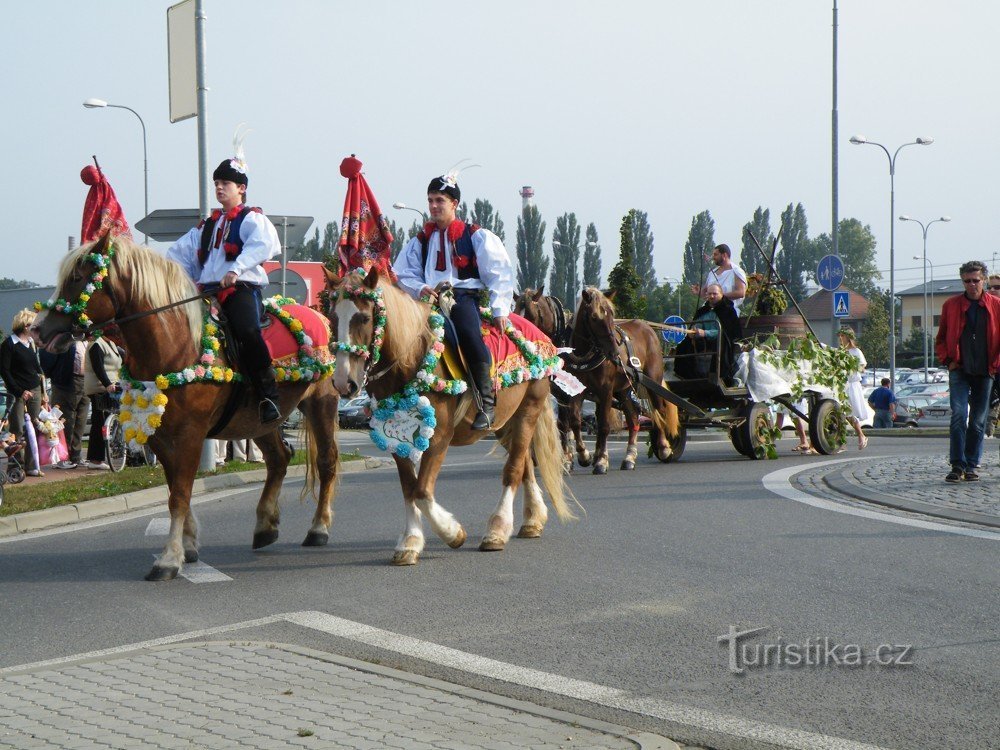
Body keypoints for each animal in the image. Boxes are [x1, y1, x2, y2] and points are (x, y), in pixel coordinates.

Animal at [29, 235, 342, 580]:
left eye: (77, 278)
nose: (38, 330)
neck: (175, 345)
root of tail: (319, 318)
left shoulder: (190, 434)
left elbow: (180, 494)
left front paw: (169, 558)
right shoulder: (160, 435)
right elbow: (175, 491)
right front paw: (188, 545)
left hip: (320, 404)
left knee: (326, 462)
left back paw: (318, 529)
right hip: (258, 421)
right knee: (279, 459)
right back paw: (264, 526)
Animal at [326, 268, 580, 568]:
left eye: (364, 318)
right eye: (332, 317)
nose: (344, 383)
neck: (412, 359)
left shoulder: (438, 439)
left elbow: (422, 492)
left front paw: (452, 533)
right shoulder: (396, 440)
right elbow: (409, 489)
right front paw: (410, 542)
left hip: (529, 410)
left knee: (514, 468)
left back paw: (497, 529)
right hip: (506, 422)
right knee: (525, 463)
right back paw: (532, 520)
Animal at [568, 288, 684, 476]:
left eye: (612, 314)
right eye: (594, 317)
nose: (614, 351)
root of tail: (648, 327)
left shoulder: (605, 390)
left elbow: (604, 425)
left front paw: (601, 461)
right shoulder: (576, 390)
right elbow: (575, 421)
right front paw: (584, 455)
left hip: (653, 381)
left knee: (659, 412)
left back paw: (665, 447)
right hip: (623, 391)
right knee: (634, 418)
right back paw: (629, 458)